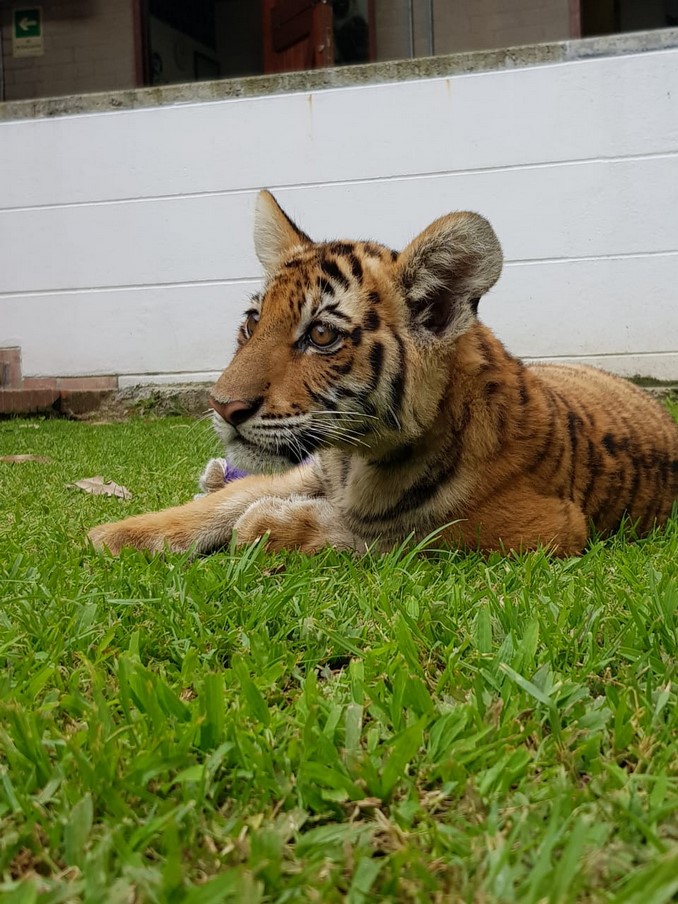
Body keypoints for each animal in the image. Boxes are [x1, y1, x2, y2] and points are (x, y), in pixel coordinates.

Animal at [88, 190, 678, 557]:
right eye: (253, 322)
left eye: (322, 336)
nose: (221, 406)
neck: (354, 460)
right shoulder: (313, 467)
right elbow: (236, 496)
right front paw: (114, 534)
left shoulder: (542, 526)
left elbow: (405, 534)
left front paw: (271, 524)